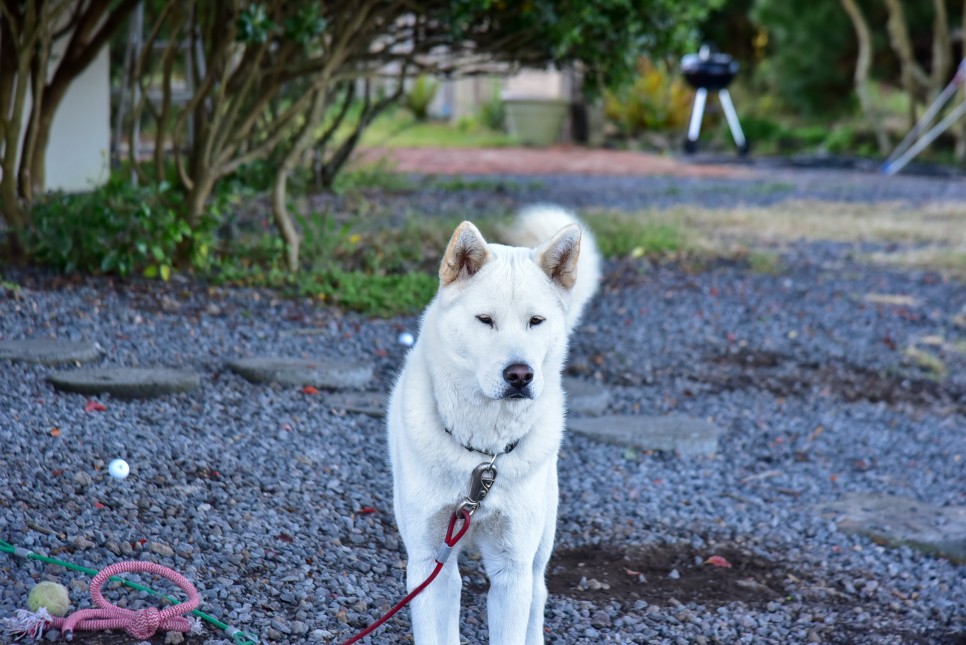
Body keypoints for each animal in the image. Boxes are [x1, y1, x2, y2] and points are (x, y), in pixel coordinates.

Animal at [388, 206, 600, 644]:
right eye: (485, 320)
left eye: (536, 320)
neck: (482, 454)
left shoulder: (511, 567)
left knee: (538, 595)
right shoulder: (427, 560)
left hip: (537, 550)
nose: (520, 375)